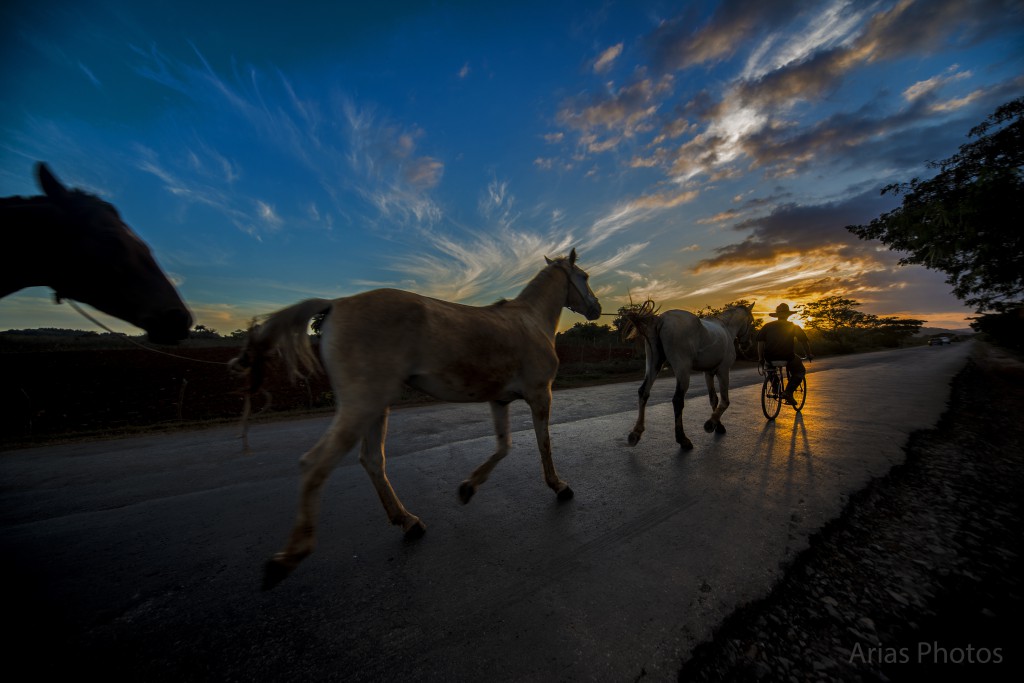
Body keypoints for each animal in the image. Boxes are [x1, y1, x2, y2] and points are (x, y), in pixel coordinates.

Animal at [232, 248, 598, 589]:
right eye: (585, 276)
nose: (595, 309)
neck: (529, 322)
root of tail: (337, 304)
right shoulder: (540, 395)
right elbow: (543, 444)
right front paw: (559, 486)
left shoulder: (499, 400)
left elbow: (503, 446)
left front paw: (467, 488)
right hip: (361, 406)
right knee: (315, 464)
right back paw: (286, 559)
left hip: (375, 407)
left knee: (372, 460)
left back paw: (408, 522)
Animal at [618, 301, 757, 450]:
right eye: (751, 321)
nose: (747, 344)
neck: (725, 328)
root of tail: (661, 319)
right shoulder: (723, 371)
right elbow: (725, 401)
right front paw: (710, 424)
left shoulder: (708, 373)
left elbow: (713, 399)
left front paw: (718, 425)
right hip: (683, 371)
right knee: (678, 400)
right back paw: (682, 439)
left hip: (654, 364)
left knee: (643, 392)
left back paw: (636, 433)